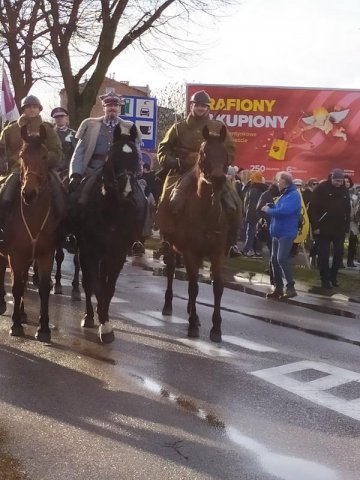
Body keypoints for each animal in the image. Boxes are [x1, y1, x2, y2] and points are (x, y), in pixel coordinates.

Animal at [1, 124, 60, 342]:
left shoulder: (45, 255)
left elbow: (43, 288)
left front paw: (43, 329)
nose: (29, 193)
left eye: (44, 156)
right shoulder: (15, 255)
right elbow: (17, 287)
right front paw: (16, 325)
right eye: (21, 155)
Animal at [161, 124, 231, 342]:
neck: (206, 213)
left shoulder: (218, 253)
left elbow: (217, 287)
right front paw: (192, 325)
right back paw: (170, 307)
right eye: (203, 152)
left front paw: (216, 329)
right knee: (171, 272)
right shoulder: (190, 253)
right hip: (172, 247)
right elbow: (193, 287)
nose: (218, 178)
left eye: (226, 153)